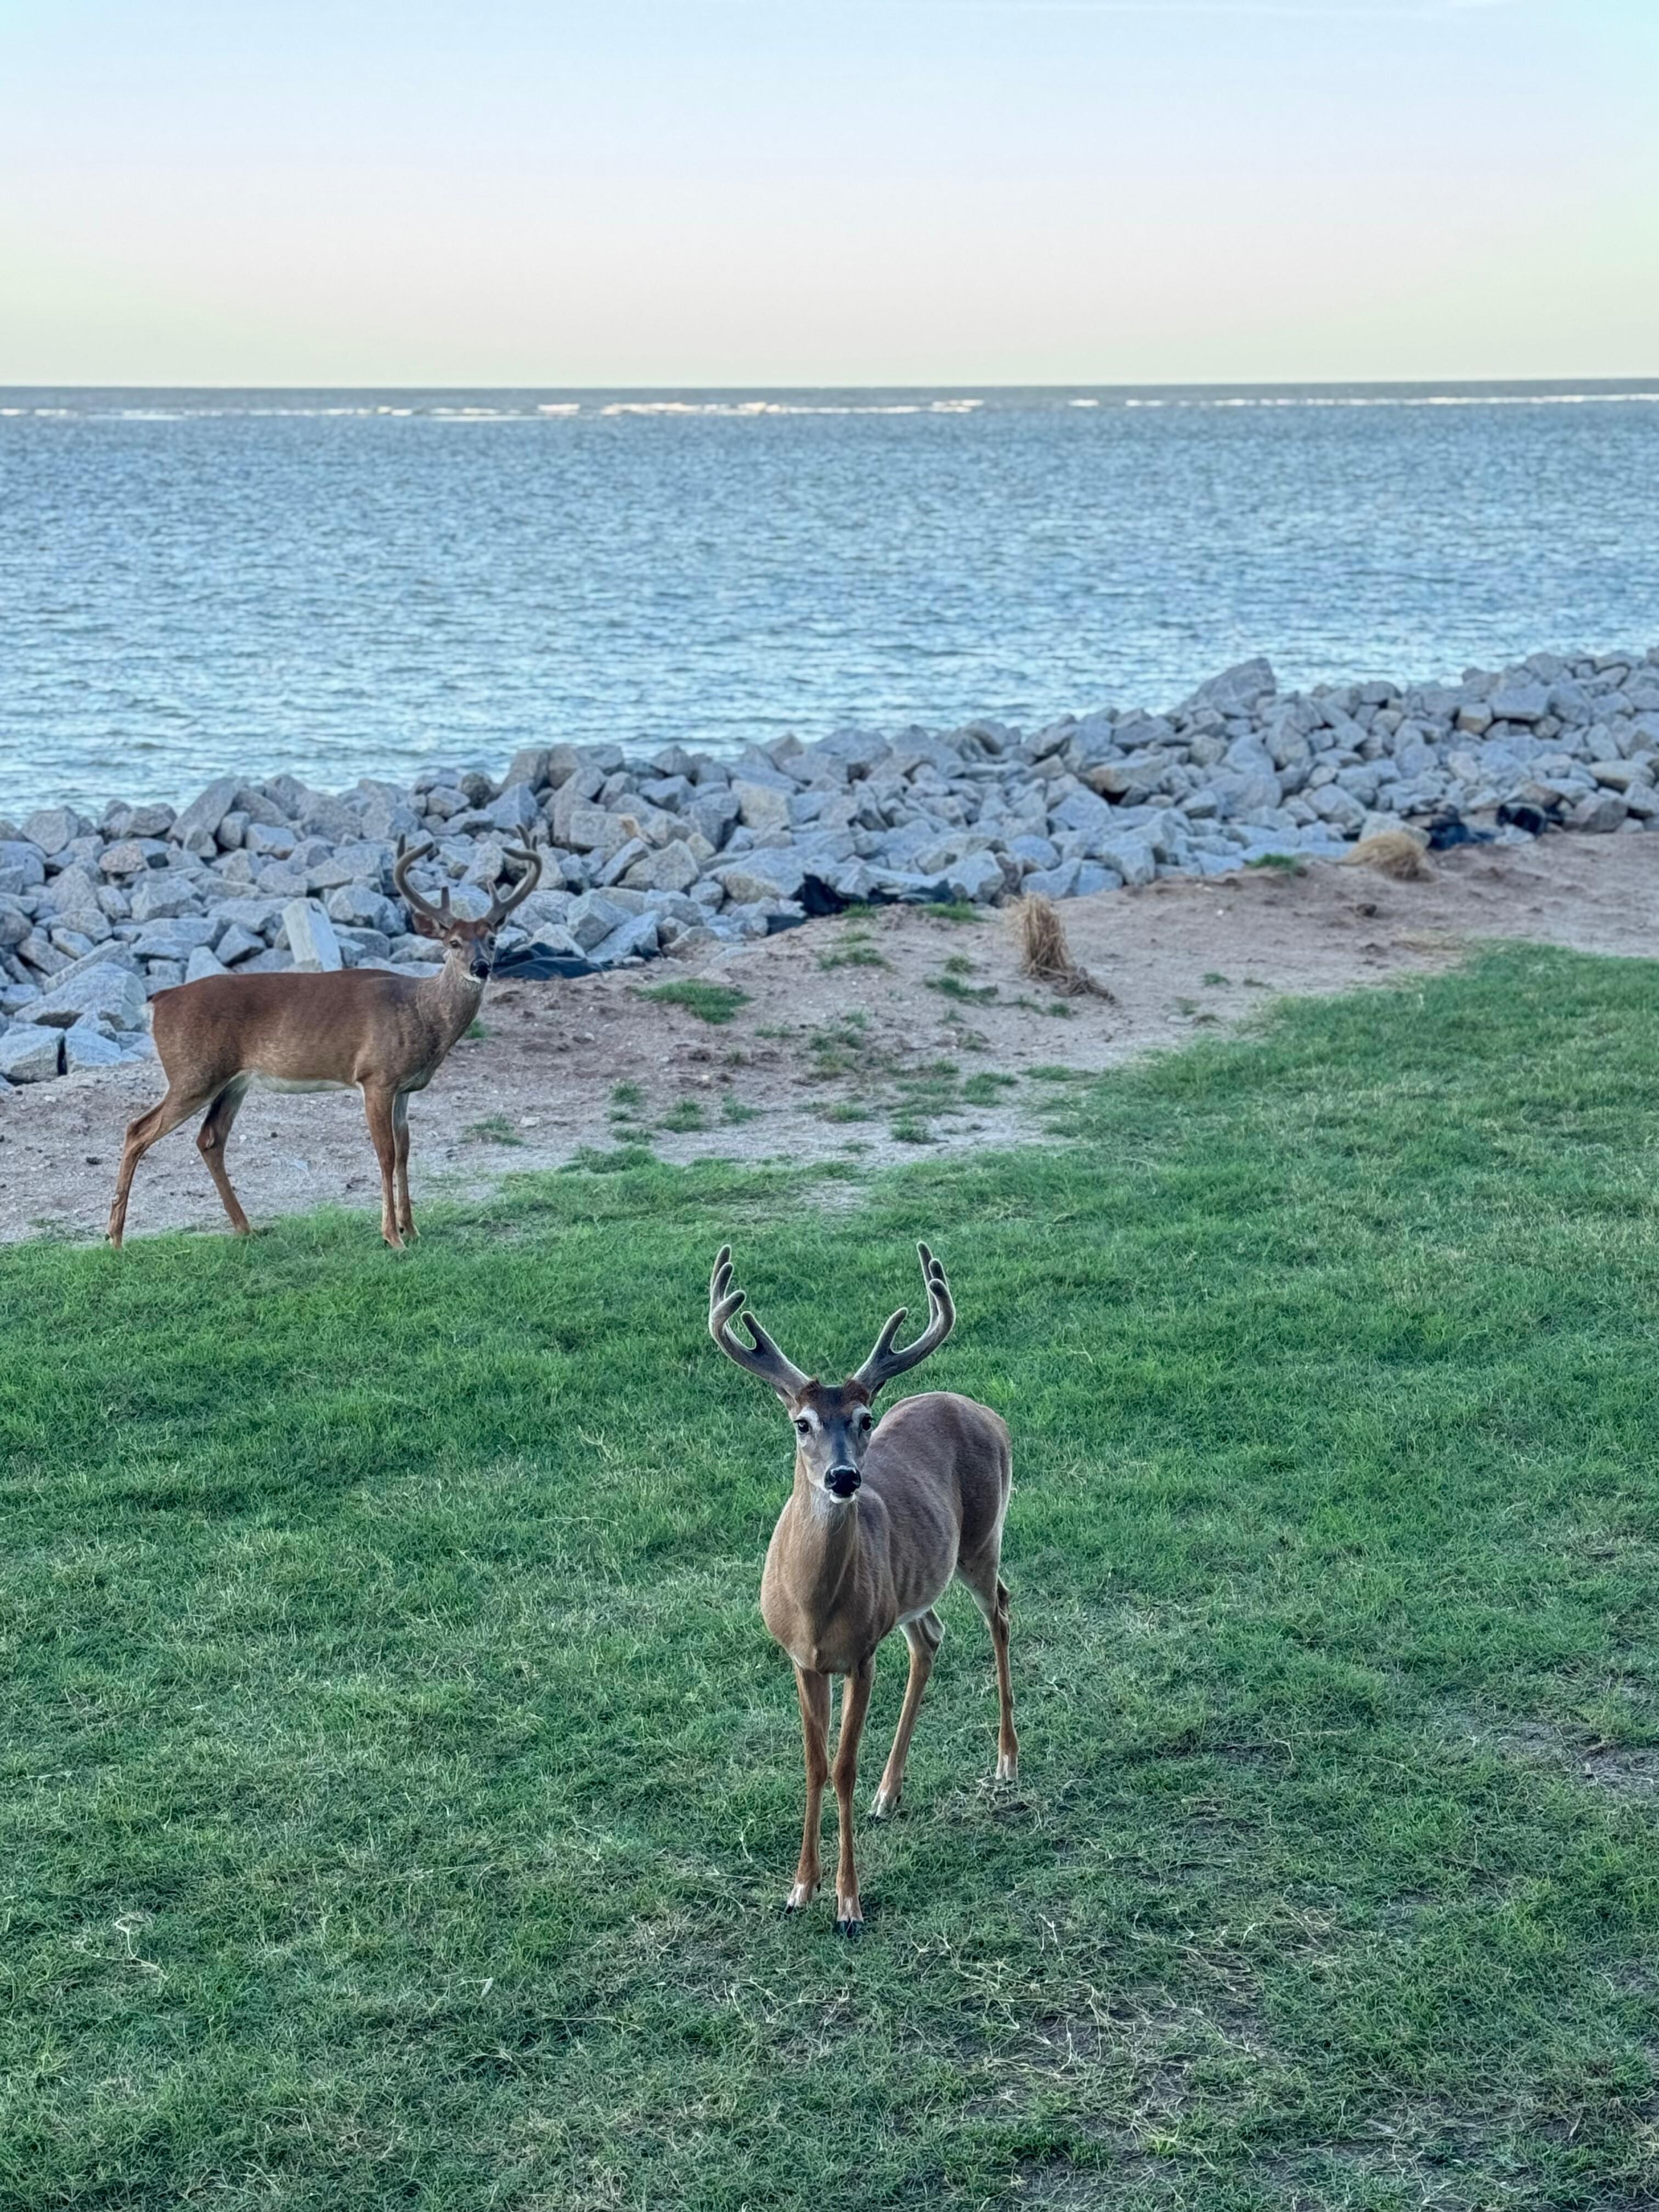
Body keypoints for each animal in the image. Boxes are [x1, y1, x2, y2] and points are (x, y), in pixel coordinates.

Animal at [107, 837, 541, 1249]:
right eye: (453, 943)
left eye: (493, 939)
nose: (481, 967)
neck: (421, 1013)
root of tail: (159, 1001)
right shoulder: (375, 1076)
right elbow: (385, 1154)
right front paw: (393, 1236)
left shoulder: (404, 1087)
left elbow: (404, 1152)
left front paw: (412, 1229)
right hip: (193, 1072)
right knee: (137, 1129)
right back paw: (115, 1237)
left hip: (233, 1081)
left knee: (210, 1138)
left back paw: (245, 1228)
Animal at [708, 1240, 1017, 1935]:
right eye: (801, 1423)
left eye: (865, 1416)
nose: (845, 1477)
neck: (815, 1610)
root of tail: (983, 1411)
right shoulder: (801, 1660)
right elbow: (815, 1765)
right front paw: (800, 1888)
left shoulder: (861, 1656)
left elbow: (843, 1766)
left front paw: (848, 1903)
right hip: (915, 1585)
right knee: (932, 1635)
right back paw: (889, 1791)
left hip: (981, 1539)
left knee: (1001, 1615)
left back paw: (1007, 1760)